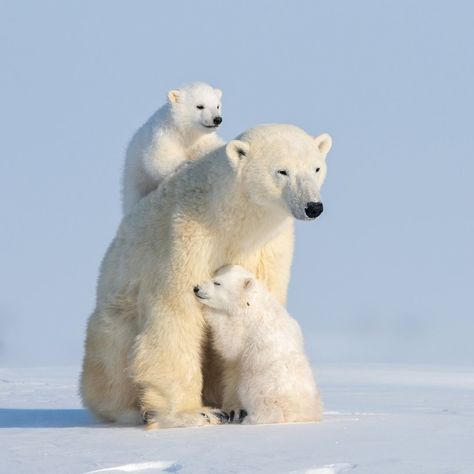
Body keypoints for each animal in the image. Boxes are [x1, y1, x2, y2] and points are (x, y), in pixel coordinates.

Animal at [80, 124, 334, 428]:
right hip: (114, 317)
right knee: (113, 363)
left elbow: (252, 315)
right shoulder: (188, 235)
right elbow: (176, 311)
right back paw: (132, 410)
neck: (231, 221)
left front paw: (237, 408)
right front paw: (193, 413)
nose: (313, 206)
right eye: (282, 170)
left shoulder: (269, 250)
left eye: (316, 168)